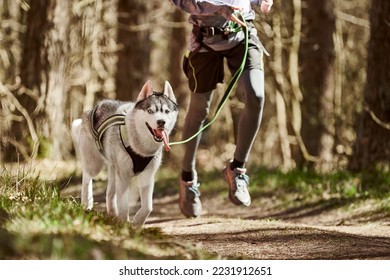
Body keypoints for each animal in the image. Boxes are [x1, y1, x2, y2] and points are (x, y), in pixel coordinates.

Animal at [71, 80, 178, 226]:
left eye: (166, 111)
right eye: (150, 111)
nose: (161, 122)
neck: (141, 148)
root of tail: (92, 109)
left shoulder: (147, 175)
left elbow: (148, 207)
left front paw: (137, 222)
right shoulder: (123, 176)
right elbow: (124, 205)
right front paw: (123, 224)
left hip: (113, 169)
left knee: (109, 193)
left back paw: (112, 214)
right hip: (95, 165)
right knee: (87, 178)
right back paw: (87, 204)